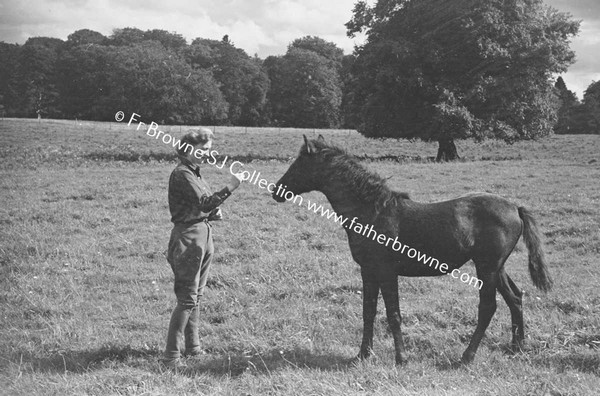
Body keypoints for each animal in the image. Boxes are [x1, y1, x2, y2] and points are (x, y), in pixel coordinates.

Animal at [272, 135, 552, 366]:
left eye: (299, 164)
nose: (277, 190)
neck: (374, 212)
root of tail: (515, 208)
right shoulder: (368, 272)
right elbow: (368, 311)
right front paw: (362, 355)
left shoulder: (386, 272)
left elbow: (393, 314)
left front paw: (401, 358)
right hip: (496, 268)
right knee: (515, 298)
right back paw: (517, 348)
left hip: (487, 267)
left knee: (488, 307)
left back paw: (467, 357)